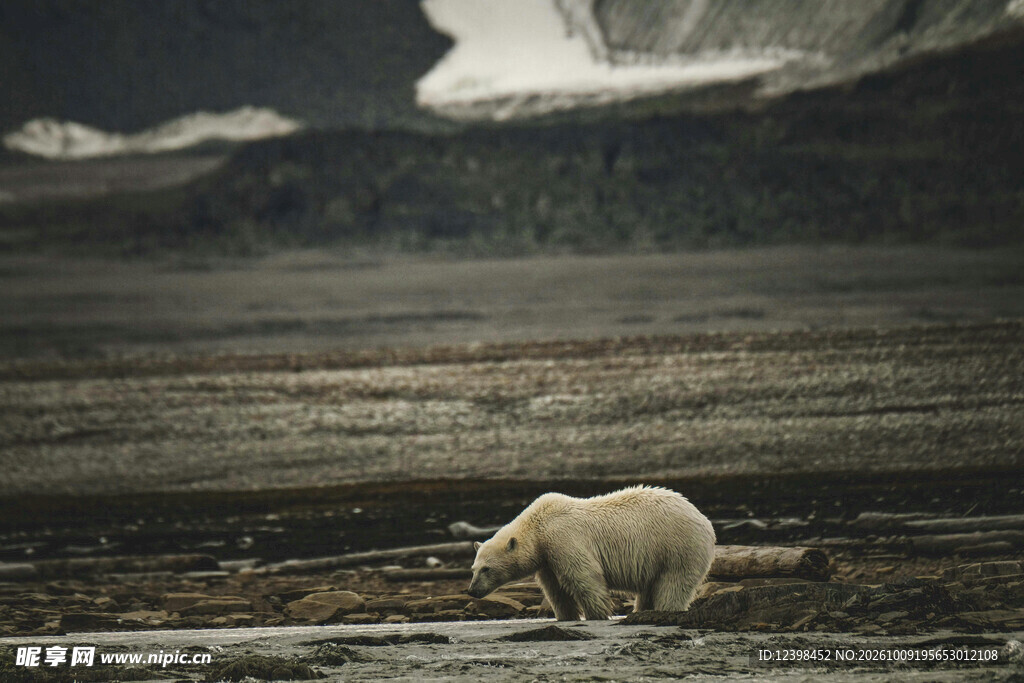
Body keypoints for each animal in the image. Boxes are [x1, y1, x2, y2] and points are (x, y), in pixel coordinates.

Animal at [467, 485, 716, 620]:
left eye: (487, 569)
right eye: (473, 569)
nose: (472, 590)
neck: (538, 527)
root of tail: (702, 518)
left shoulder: (563, 538)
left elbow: (584, 576)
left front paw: (597, 614)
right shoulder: (547, 559)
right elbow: (555, 589)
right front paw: (566, 616)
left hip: (678, 546)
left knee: (673, 583)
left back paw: (664, 609)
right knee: (649, 588)